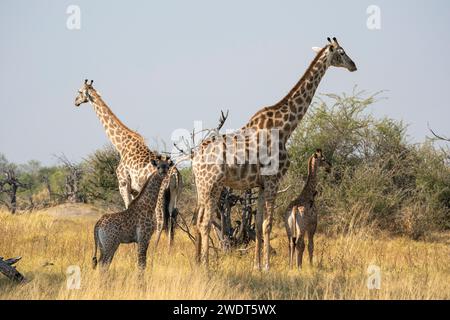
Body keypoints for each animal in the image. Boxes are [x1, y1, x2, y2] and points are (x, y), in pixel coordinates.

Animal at [74, 80, 181, 248]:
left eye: (79, 91)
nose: (75, 102)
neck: (121, 145)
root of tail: (175, 173)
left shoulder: (123, 183)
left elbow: (127, 208)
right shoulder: (136, 190)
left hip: (161, 194)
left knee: (161, 219)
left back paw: (156, 248)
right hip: (175, 193)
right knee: (173, 216)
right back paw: (170, 249)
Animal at [192, 37, 356, 270]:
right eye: (341, 52)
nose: (354, 65)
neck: (285, 128)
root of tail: (194, 158)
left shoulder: (261, 184)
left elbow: (260, 224)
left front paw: (257, 266)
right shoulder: (273, 180)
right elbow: (269, 224)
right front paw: (268, 266)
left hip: (204, 186)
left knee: (198, 221)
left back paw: (197, 262)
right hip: (210, 184)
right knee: (205, 223)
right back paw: (205, 266)